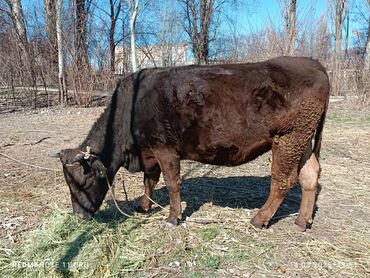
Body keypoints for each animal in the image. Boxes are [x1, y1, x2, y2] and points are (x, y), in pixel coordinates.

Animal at [52, 56, 330, 230]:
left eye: (83, 180)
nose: (78, 215)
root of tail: (311, 62)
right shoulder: (150, 152)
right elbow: (149, 181)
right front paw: (144, 207)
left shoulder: (164, 148)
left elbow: (172, 183)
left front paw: (173, 218)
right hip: (302, 140)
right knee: (309, 176)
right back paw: (302, 222)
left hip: (288, 138)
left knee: (282, 180)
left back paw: (259, 219)